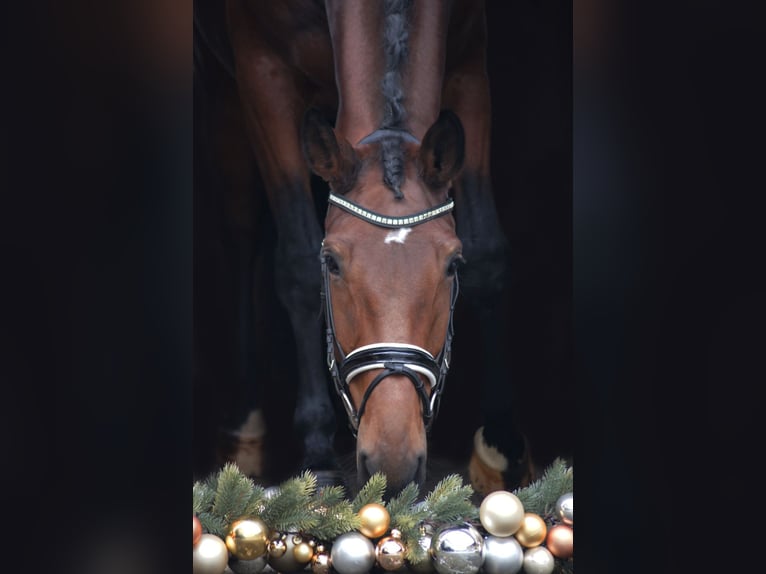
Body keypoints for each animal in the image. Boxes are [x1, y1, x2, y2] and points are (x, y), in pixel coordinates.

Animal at [198, 0, 536, 496]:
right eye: (332, 263)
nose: (392, 463)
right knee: (239, 227)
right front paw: (318, 455)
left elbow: (490, 254)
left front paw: (501, 448)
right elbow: (296, 265)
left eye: (452, 265)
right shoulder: (262, 71)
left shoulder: (469, 59)